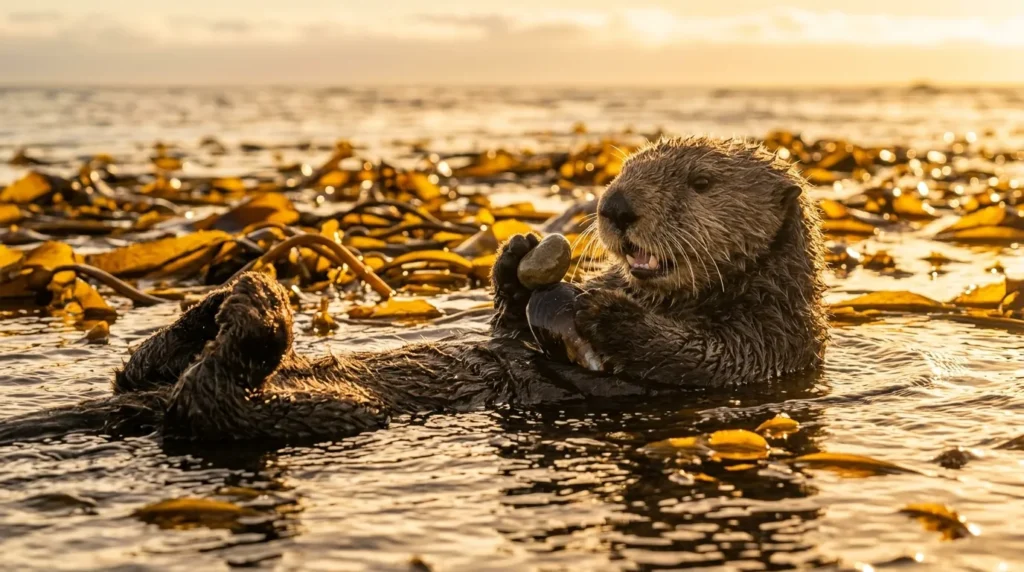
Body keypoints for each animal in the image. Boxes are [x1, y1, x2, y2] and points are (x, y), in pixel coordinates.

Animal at [0, 136, 828, 444]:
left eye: (700, 182)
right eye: (623, 169)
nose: (616, 207)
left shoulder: (764, 347)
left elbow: (689, 355)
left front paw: (593, 306)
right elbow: (509, 322)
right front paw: (517, 257)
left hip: (322, 412)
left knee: (206, 401)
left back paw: (257, 310)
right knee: (149, 370)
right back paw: (223, 299)